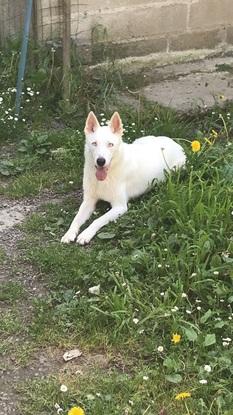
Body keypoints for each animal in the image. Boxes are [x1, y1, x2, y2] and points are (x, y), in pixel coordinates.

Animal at [61, 112, 186, 245]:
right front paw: (69, 233)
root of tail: (173, 141)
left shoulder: (119, 207)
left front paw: (86, 234)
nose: (101, 161)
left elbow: (97, 220)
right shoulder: (88, 201)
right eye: (94, 143)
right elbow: (76, 219)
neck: (107, 175)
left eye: (110, 144)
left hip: (176, 169)